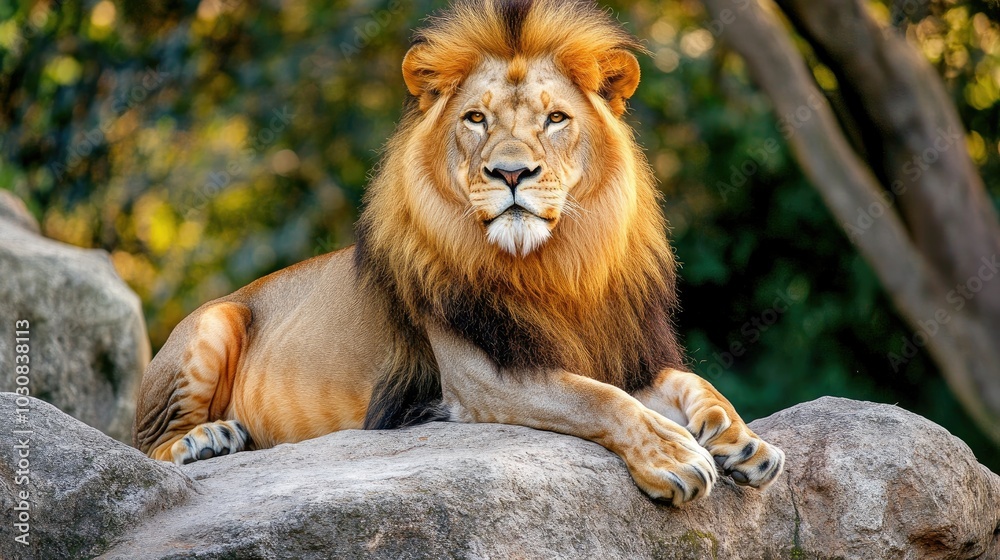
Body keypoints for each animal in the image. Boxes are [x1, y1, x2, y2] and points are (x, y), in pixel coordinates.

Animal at [133, 0, 784, 505]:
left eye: (556, 118)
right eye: (476, 118)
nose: (511, 173)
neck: (554, 268)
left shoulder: (612, 351)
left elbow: (691, 383)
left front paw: (744, 443)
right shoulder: (483, 378)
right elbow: (598, 399)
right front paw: (675, 458)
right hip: (213, 322)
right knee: (145, 448)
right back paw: (208, 440)